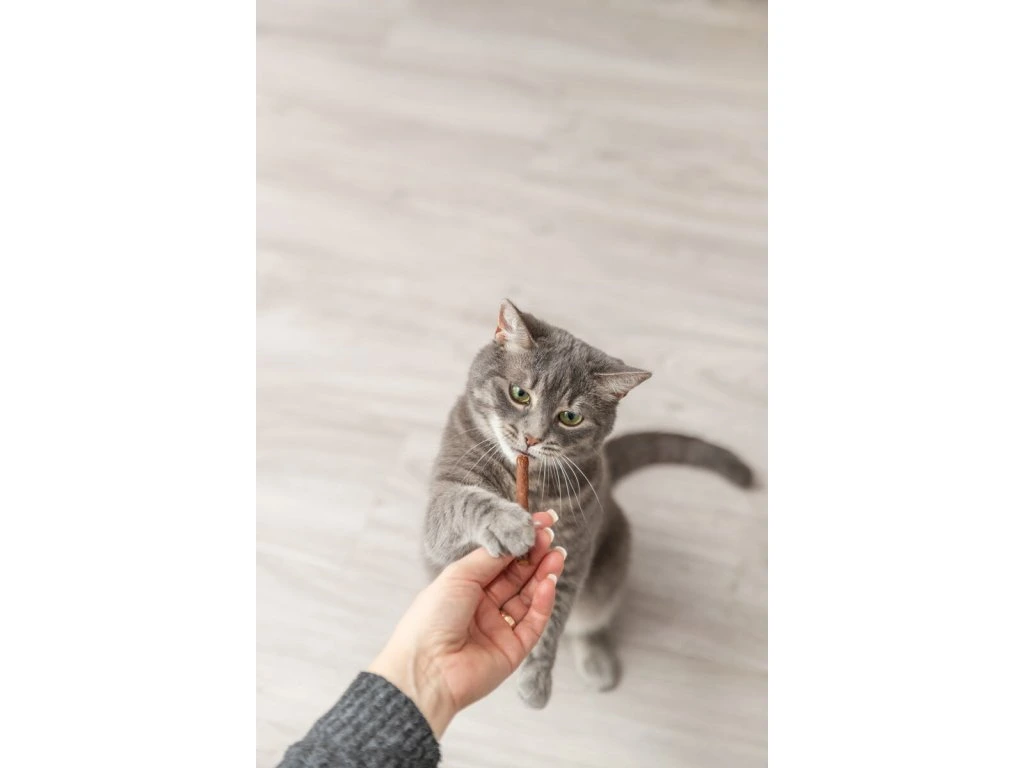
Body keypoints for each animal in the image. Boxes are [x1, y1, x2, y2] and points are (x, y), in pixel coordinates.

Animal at [422, 299, 754, 709]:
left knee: (589, 623)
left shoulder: (573, 554)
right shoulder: (440, 515)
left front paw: (536, 680)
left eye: (570, 417)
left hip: (606, 575)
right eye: (519, 394)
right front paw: (510, 524)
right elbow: (465, 501)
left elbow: (552, 620)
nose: (532, 438)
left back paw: (597, 662)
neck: (529, 480)